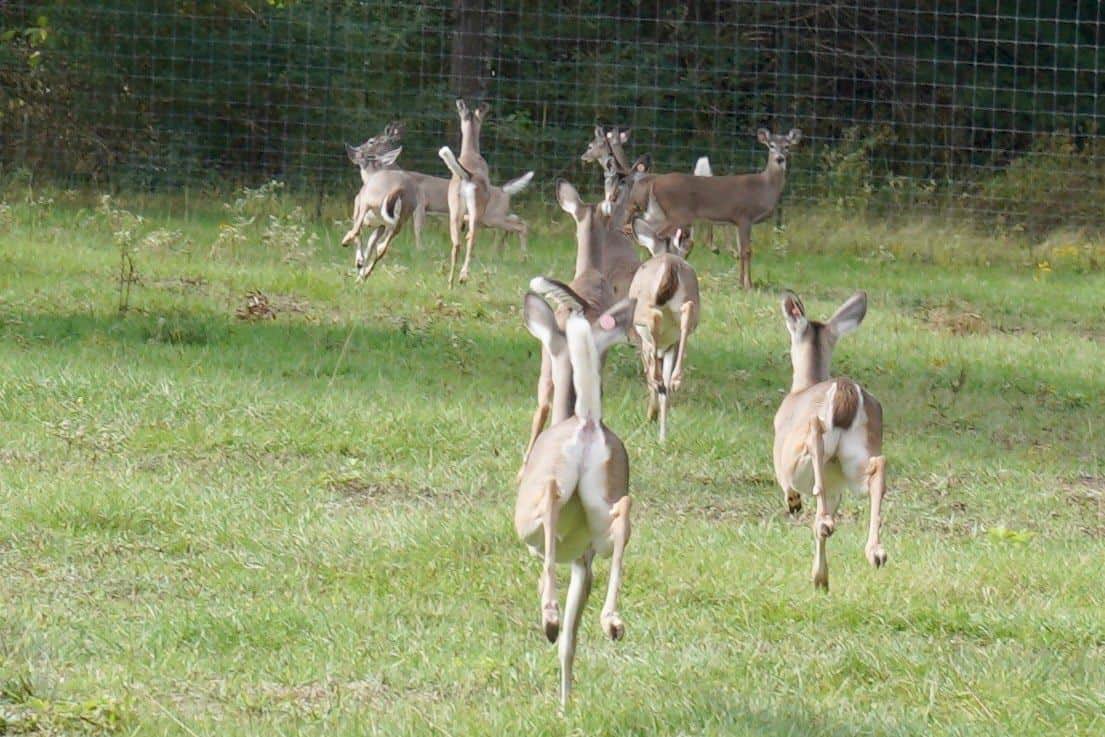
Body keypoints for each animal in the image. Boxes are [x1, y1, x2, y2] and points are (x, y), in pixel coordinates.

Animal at [438, 98, 493, 287]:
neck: (471, 153)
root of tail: (467, 176)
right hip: (477, 207)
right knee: (471, 239)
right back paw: (463, 276)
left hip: (454, 207)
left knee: (456, 244)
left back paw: (450, 282)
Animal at [516, 278, 636, 706]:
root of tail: (586, 421)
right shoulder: (583, 564)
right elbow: (572, 641)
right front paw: (566, 705)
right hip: (601, 514)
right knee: (623, 514)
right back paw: (613, 622)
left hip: (531, 518)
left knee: (551, 499)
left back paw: (549, 618)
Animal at [622, 128, 802, 289]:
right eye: (771, 145)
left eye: (787, 146)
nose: (780, 159)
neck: (765, 187)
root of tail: (654, 182)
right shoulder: (744, 216)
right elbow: (747, 251)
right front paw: (748, 285)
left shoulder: (736, 221)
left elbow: (740, 251)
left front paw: (740, 283)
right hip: (678, 214)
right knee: (656, 235)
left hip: (660, 214)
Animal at [627, 213, 700, 442]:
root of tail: (669, 264)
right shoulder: (669, 348)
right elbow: (664, 394)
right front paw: (662, 437)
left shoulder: (645, 346)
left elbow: (652, 381)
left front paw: (651, 416)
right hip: (685, 304)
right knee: (687, 312)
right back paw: (676, 379)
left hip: (642, 310)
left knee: (654, 318)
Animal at [773, 290, 887, 591]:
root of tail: (846, 389)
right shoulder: (837, 490)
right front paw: (820, 579)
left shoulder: (783, 466)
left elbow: (789, 487)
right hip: (855, 460)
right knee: (877, 467)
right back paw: (876, 552)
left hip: (804, 452)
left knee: (814, 434)